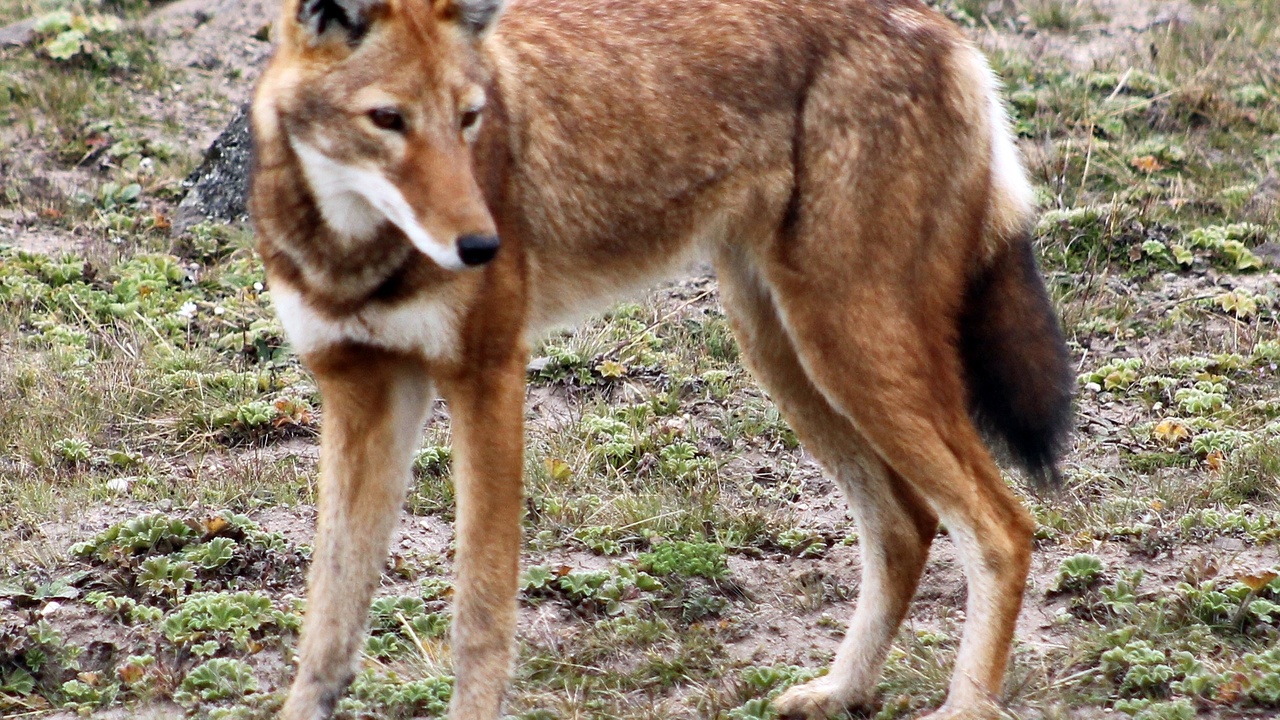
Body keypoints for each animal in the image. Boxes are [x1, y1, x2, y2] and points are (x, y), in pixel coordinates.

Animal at [248, 0, 1073, 717]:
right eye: (388, 121)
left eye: (470, 119)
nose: (483, 246)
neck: (354, 253)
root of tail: (949, 31)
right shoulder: (361, 395)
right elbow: (326, 626)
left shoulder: (488, 379)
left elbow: (479, 619)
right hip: (788, 357)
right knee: (906, 528)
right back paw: (841, 691)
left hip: (850, 352)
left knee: (1003, 529)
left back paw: (964, 706)